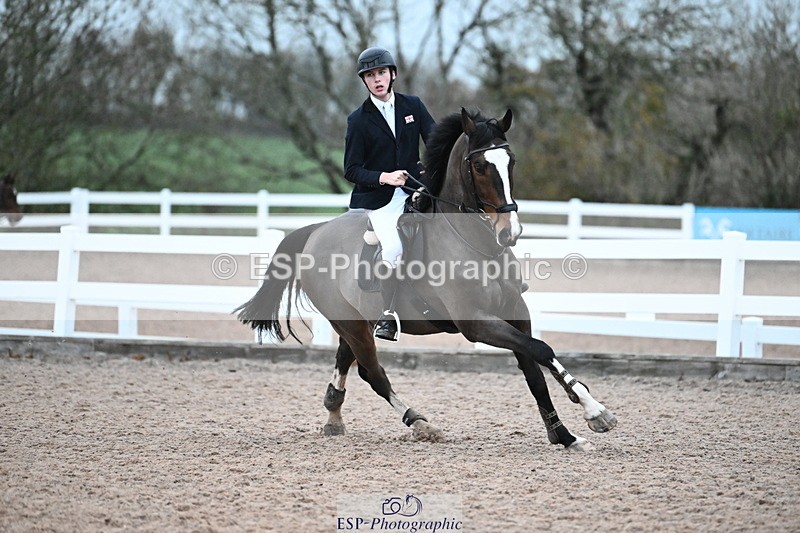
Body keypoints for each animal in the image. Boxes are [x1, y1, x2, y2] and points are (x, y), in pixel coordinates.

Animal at [236, 108, 617, 449]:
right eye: (480, 166)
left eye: (511, 162)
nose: (510, 233)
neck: (477, 245)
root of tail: (317, 230)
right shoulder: (475, 323)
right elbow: (540, 349)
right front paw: (595, 411)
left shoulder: (515, 314)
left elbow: (535, 367)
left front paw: (566, 434)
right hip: (351, 323)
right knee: (372, 373)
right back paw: (420, 423)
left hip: (355, 320)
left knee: (346, 361)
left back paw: (334, 417)